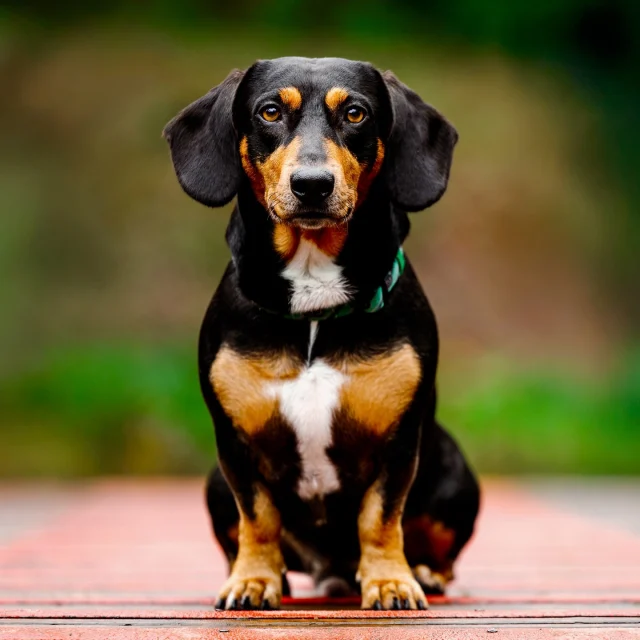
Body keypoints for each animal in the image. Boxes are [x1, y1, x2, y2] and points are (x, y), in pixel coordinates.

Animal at [165, 56, 480, 608]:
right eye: (270, 111)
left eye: (355, 113)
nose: (312, 184)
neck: (314, 305)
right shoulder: (235, 446)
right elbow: (258, 519)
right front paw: (254, 580)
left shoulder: (399, 442)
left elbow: (381, 518)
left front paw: (390, 581)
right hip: (213, 485)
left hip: (455, 479)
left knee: (438, 548)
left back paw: (425, 573)